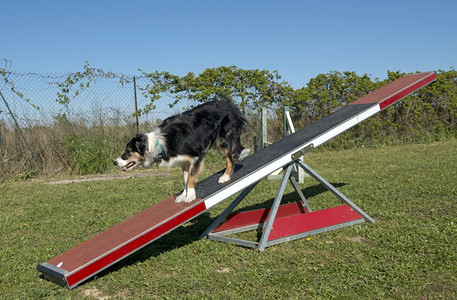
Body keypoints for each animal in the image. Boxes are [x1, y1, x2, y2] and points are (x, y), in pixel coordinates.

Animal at [114, 99, 249, 203]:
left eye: (128, 151)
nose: (114, 162)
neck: (158, 144)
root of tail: (231, 105)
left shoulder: (196, 157)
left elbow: (191, 178)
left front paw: (190, 196)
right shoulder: (183, 161)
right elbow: (185, 179)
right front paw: (184, 195)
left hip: (223, 140)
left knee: (230, 158)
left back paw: (225, 176)